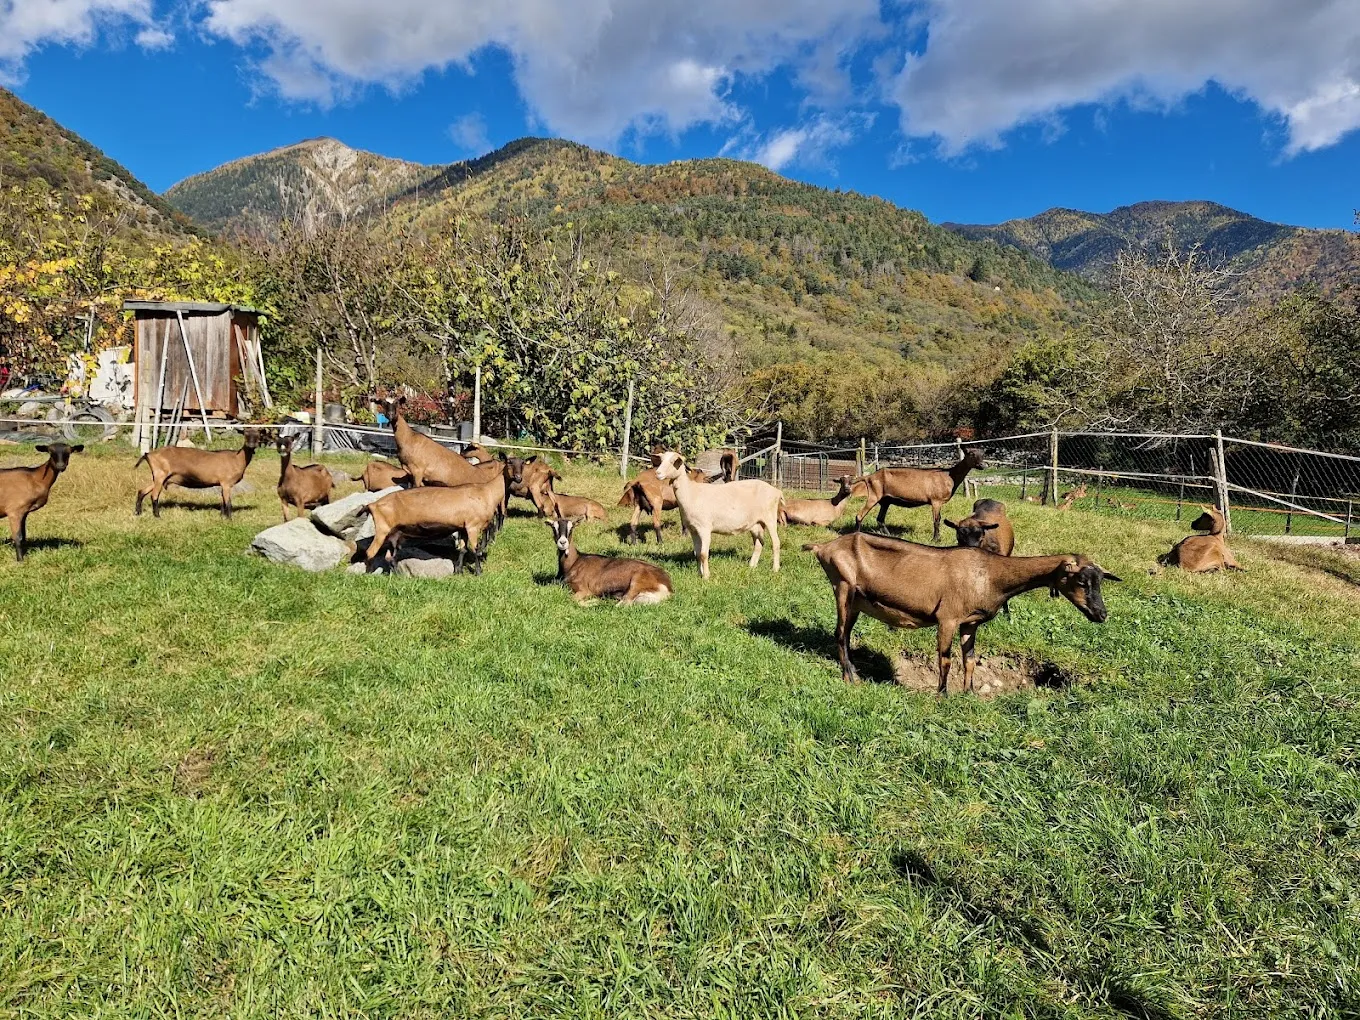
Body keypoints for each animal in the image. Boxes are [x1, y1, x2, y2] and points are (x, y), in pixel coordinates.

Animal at [135, 428, 263, 518]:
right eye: (246, 434)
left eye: (258, 435)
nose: (251, 445)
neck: (237, 458)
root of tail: (148, 454)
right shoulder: (226, 483)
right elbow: (228, 502)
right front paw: (229, 519)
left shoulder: (222, 484)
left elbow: (223, 501)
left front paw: (222, 516)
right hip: (160, 475)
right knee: (154, 495)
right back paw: (157, 516)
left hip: (160, 478)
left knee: (142, 491)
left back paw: (138, 512)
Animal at [364, 459, 508, 575]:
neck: (487, 493)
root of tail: (373, 505)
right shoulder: (473, 526)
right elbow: (475, 550)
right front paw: (478, 572)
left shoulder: (463, 527)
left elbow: (463, 549)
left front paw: (459, 571)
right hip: (382, 530)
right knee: (370, 552)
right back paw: (368, 575)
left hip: (393, 534)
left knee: (390, 556)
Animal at [653, 450, 781, 579]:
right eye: (661, 460)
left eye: (674, 461)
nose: (657, 473)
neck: (691, 492)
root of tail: (776, 491)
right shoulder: (693, 529)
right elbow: (697, 554)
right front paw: (699, 574)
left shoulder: (704, 528)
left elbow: (704, 554)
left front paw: (706, 577)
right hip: (756, 523)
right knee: (759, 543)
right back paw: (752, 566)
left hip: (770, 518)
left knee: (776, 543)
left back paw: (775, 569)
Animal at [806, 532, 1120, 693]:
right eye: (1081, 581)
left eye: (1100, 581)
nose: (1101, 615)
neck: (991, 574)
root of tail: (824, 547)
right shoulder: (948, 618)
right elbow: (945, 660)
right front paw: (942, 694)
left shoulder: (971, 623)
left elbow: (969, 660)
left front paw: (969, 692)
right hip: (843, 587)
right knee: (840, 634)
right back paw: (851, 677)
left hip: (855, 600)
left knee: (844, 634)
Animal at [831, 448, 984, 540]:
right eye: (970, 454)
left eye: (982, 454)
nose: (983, 466)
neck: (949, 475)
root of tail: (869, 477)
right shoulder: (936, 501)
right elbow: (936, 520)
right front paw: (936, 539)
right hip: (874, 495)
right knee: (859, 515)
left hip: (885, 500)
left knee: (880, 519)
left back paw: (890, 535)